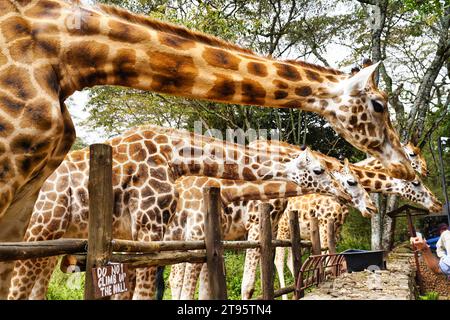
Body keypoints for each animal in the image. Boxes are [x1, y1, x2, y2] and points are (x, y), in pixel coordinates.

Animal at [5, 125, 352, 300]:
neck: (174, 155)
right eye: (319, 170)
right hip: (42, 228)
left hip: (56, 237)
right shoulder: (150, 225)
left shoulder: (144, 235)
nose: (345, 192)